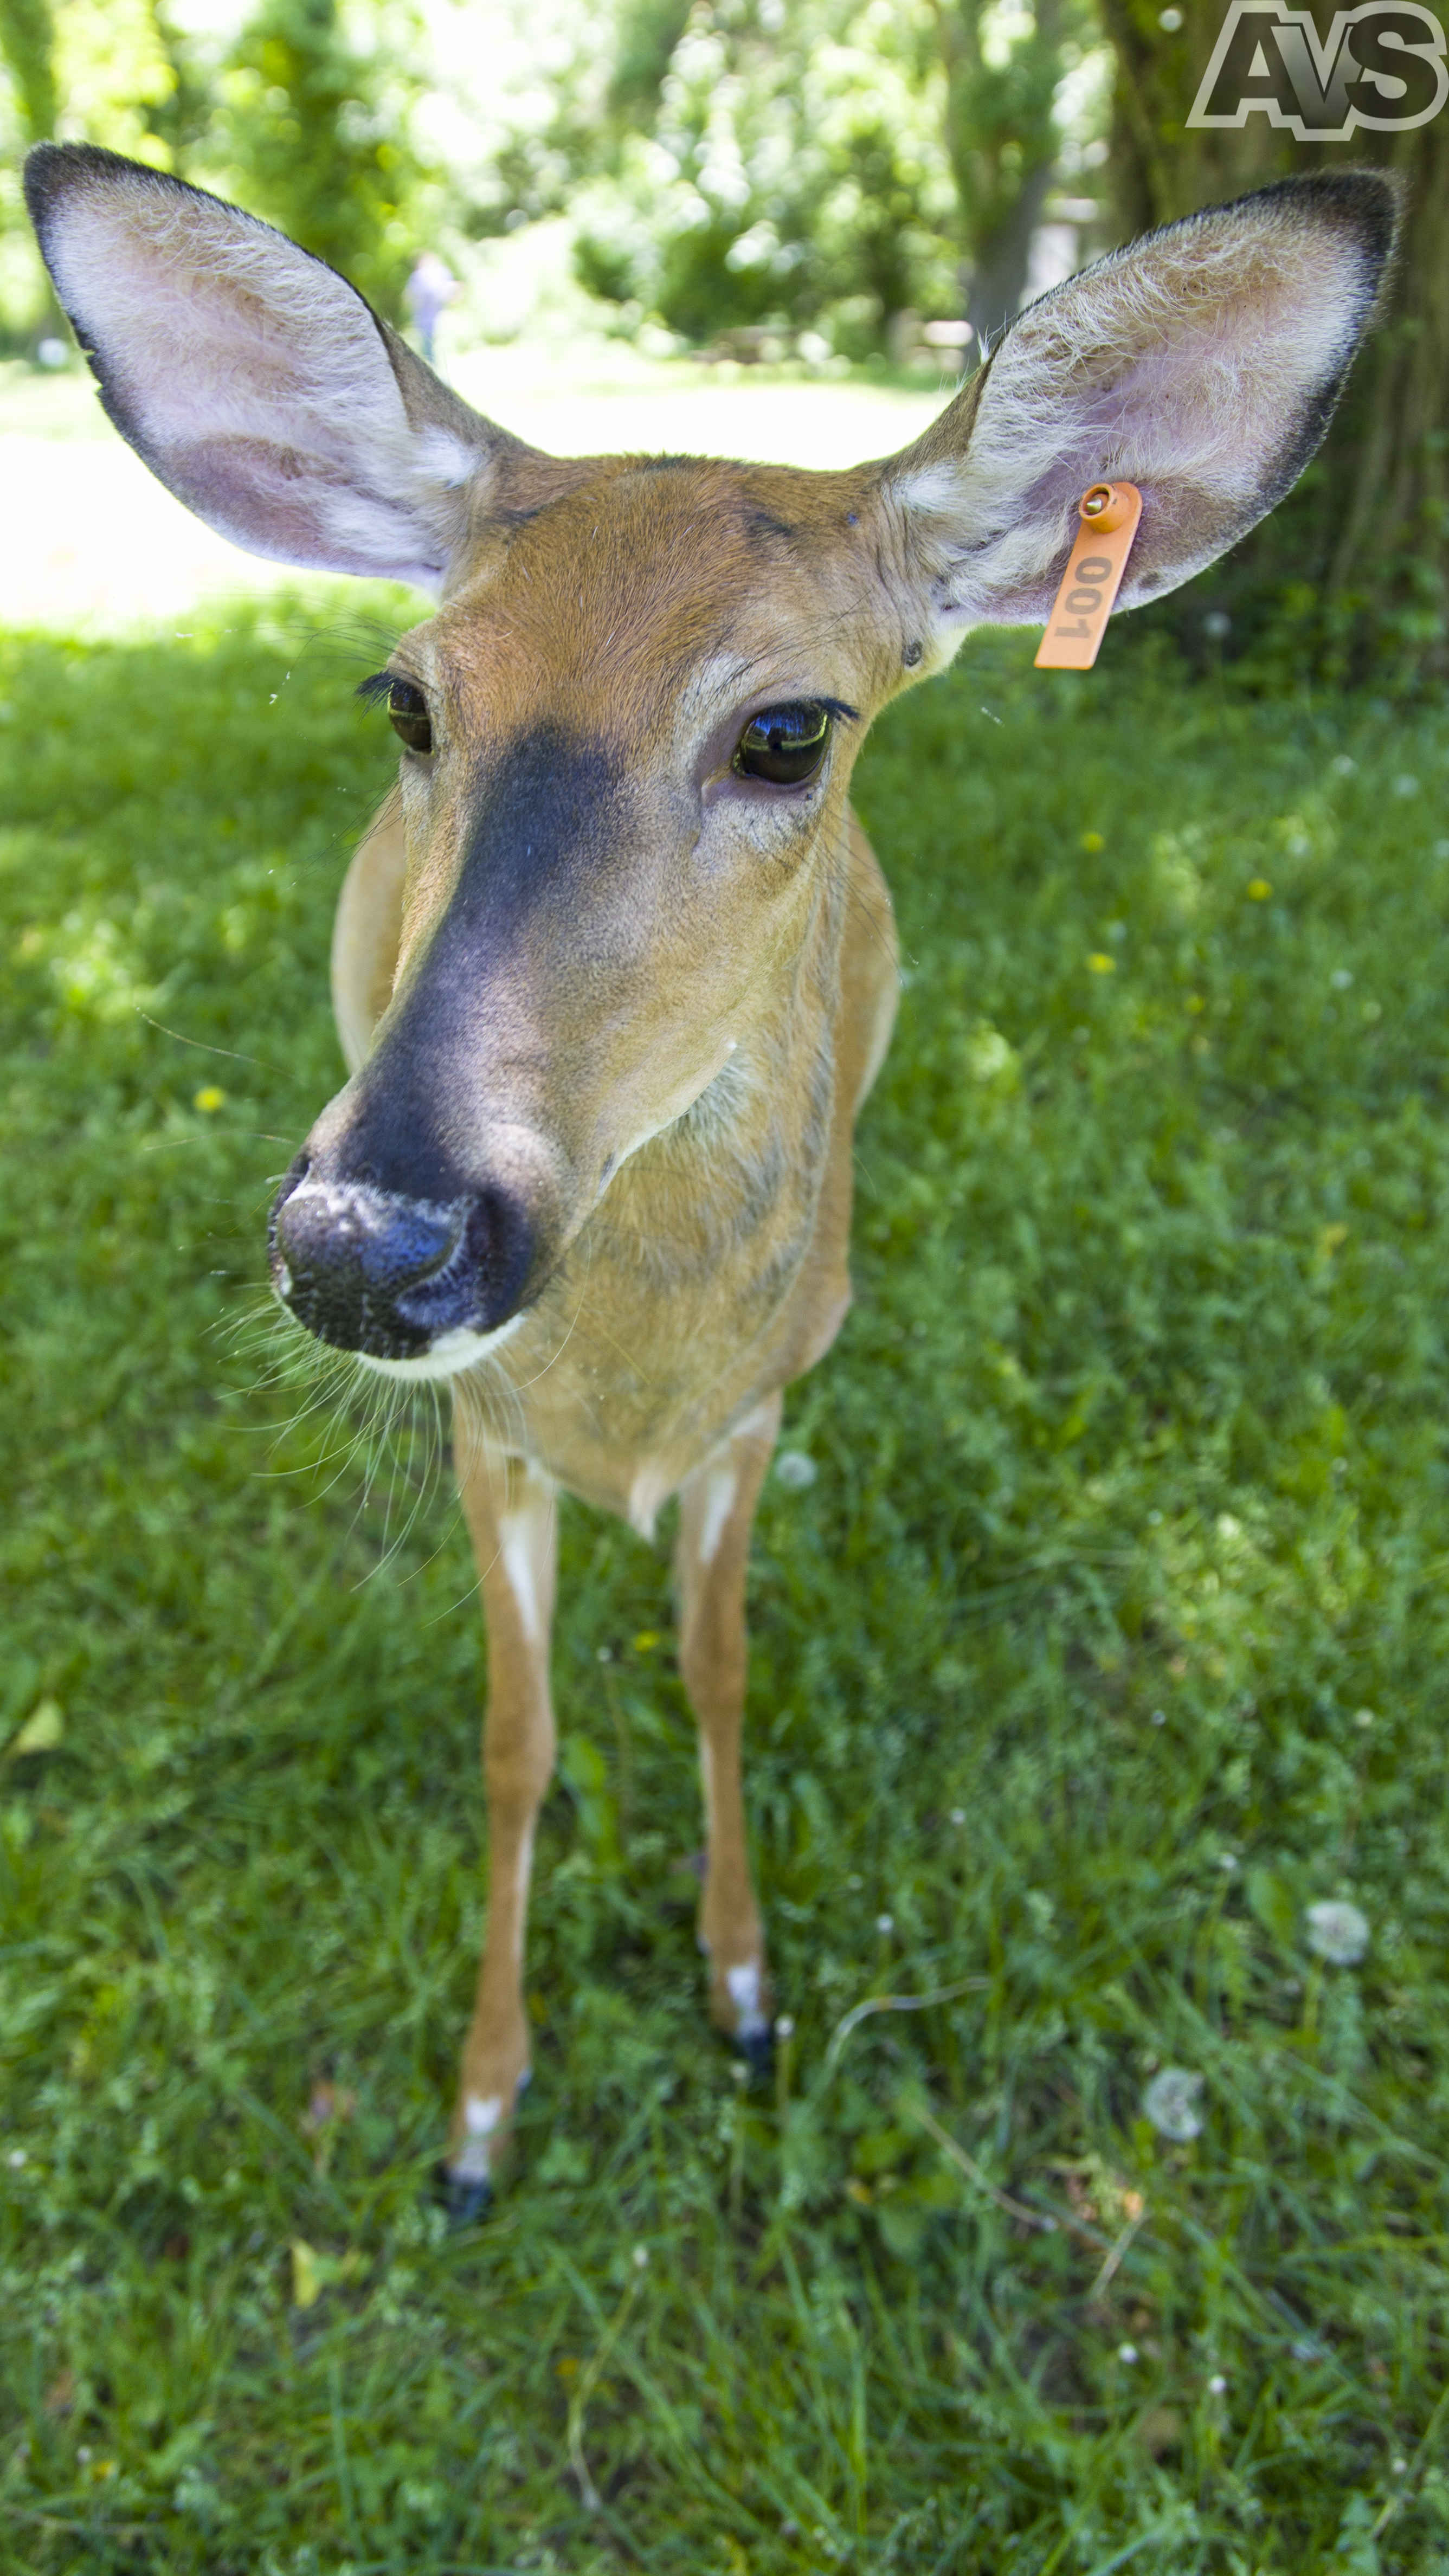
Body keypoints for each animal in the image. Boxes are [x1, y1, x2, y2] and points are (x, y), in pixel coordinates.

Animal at [25, 143, 1397, 2219]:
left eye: (787, 727)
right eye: (405, 702)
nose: (365, 1244)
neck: (630, 1402)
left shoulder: (763, 1398)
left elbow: (719, 1663)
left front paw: (746, 1987)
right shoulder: (490, 1433)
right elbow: (514, 1741)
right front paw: (480, 2116)